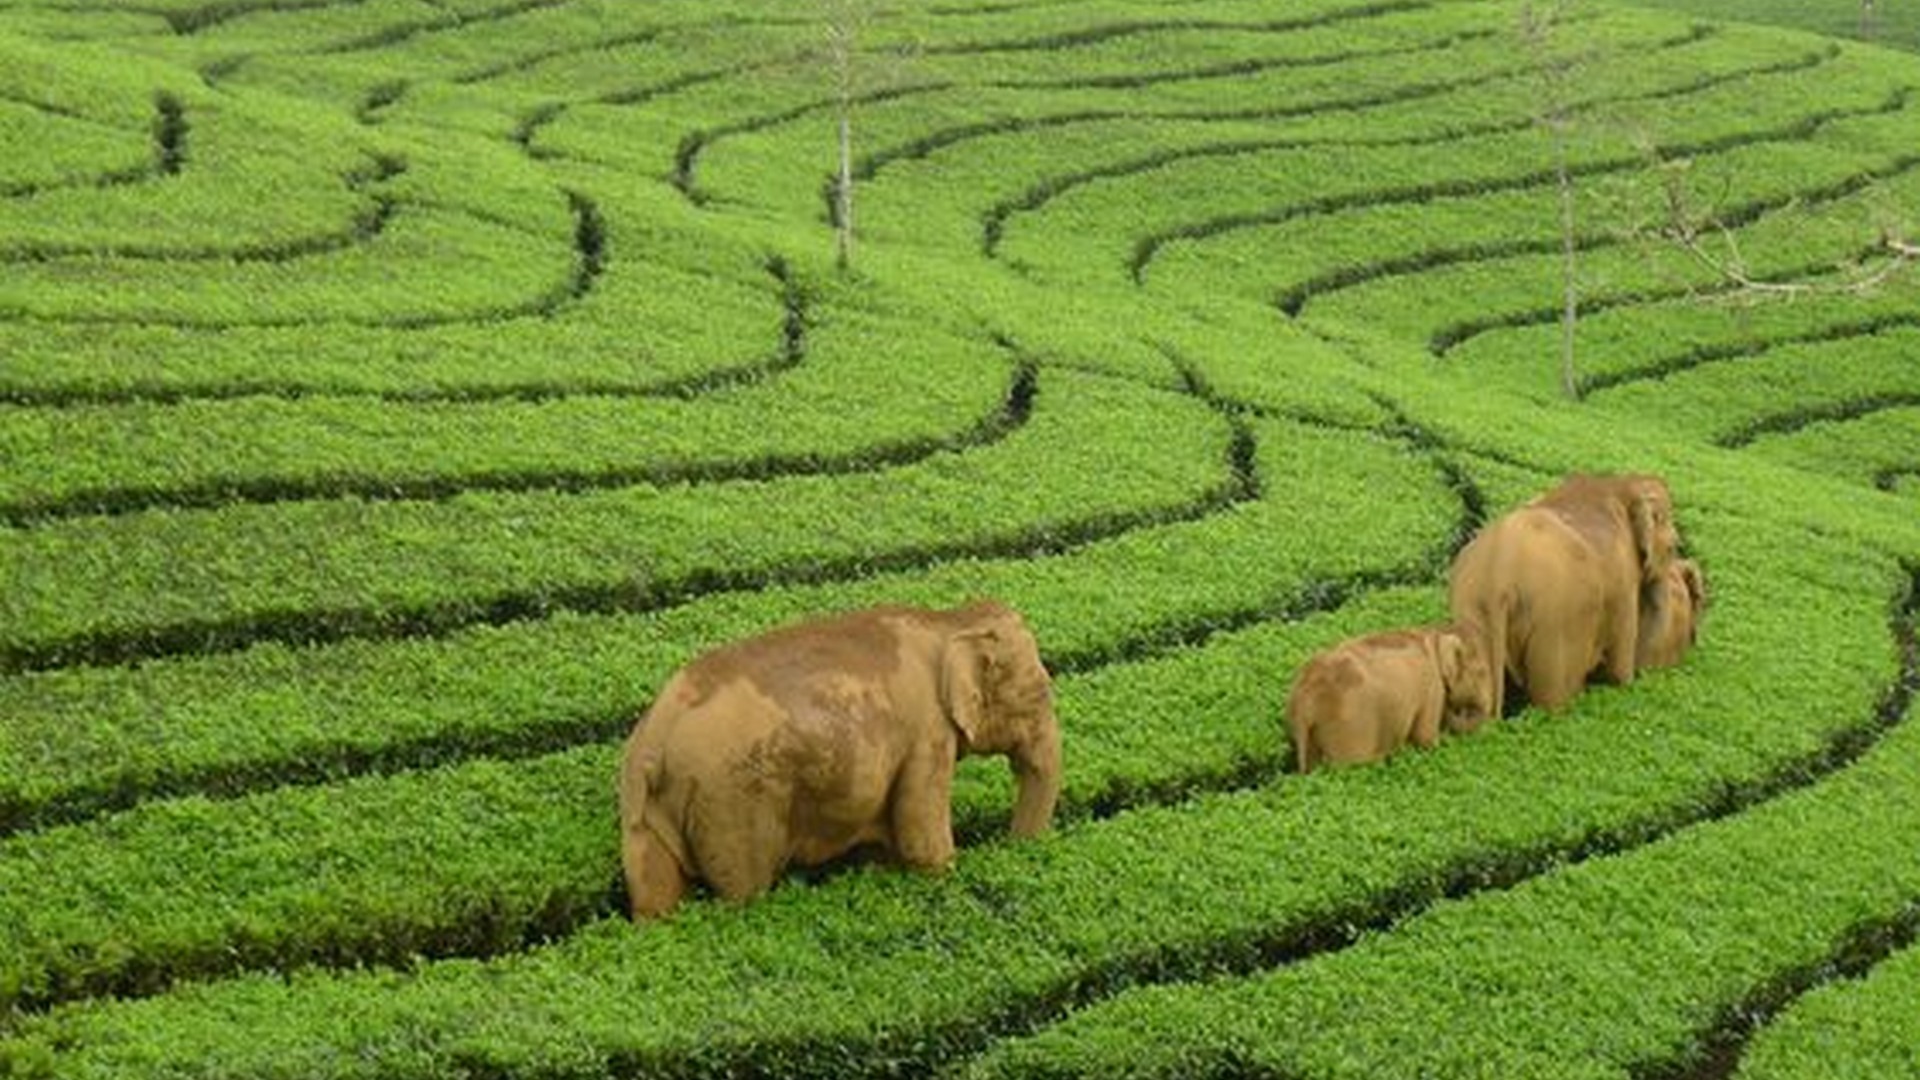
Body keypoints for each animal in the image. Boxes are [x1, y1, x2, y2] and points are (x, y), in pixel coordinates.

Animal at [616, 599, 1061, 920]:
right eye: (1041, 692)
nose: (1014, 850)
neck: (950, 620)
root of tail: (655, 741)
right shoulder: (927, 734)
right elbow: (921, 839)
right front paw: (943, 874)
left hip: (645, 810)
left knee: (653, 892)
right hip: (733, 800)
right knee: (743, 889)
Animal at [1285, 625, 1494, 773]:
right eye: (1482, 672)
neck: (1436, 633)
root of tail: (1304, 702)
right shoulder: (1431, 687)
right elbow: (1425, 737)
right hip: (1347, 727)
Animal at [1448, 473, 1682, 718]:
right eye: (1673, 548)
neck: (1620, 484)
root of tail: (1499, 579)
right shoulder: (1624, 580)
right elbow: (1620, 657)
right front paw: (1623, 684)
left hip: (1472, 610)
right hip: (1555, 627)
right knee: (1553, 695)